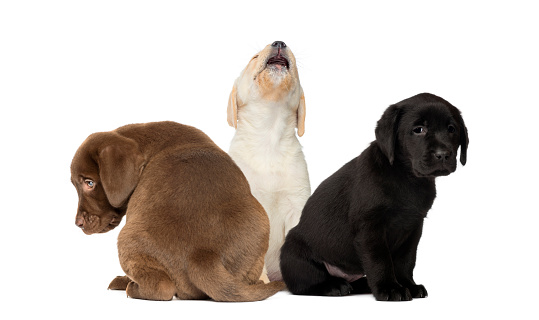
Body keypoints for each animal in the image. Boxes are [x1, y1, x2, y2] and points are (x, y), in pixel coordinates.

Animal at [280, 92, 470, 300]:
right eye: (418, 130)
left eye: (451, 129)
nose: (442, 154)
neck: (407, 178)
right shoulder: (370, 228)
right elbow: (380, 260)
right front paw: (390, 288)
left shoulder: (413, 227)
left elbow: (405, 261)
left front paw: (408, 285)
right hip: (292, 252)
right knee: (304, 283)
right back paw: (334, 286)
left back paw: (361, 284)